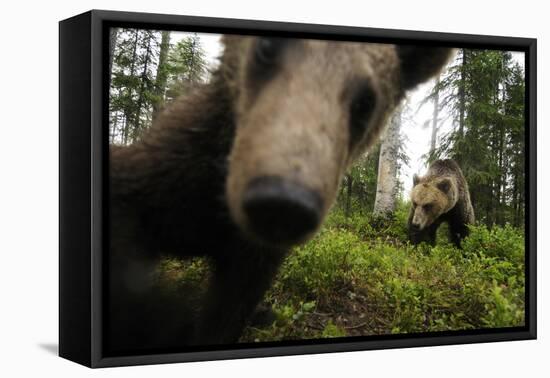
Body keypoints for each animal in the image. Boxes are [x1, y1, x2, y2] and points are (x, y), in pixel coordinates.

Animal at [110, 35, 454, 352]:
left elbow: (228, 312)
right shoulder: (169, 174)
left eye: (366, 101)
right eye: (267, 47)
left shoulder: (252, 258)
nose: (282, 202)